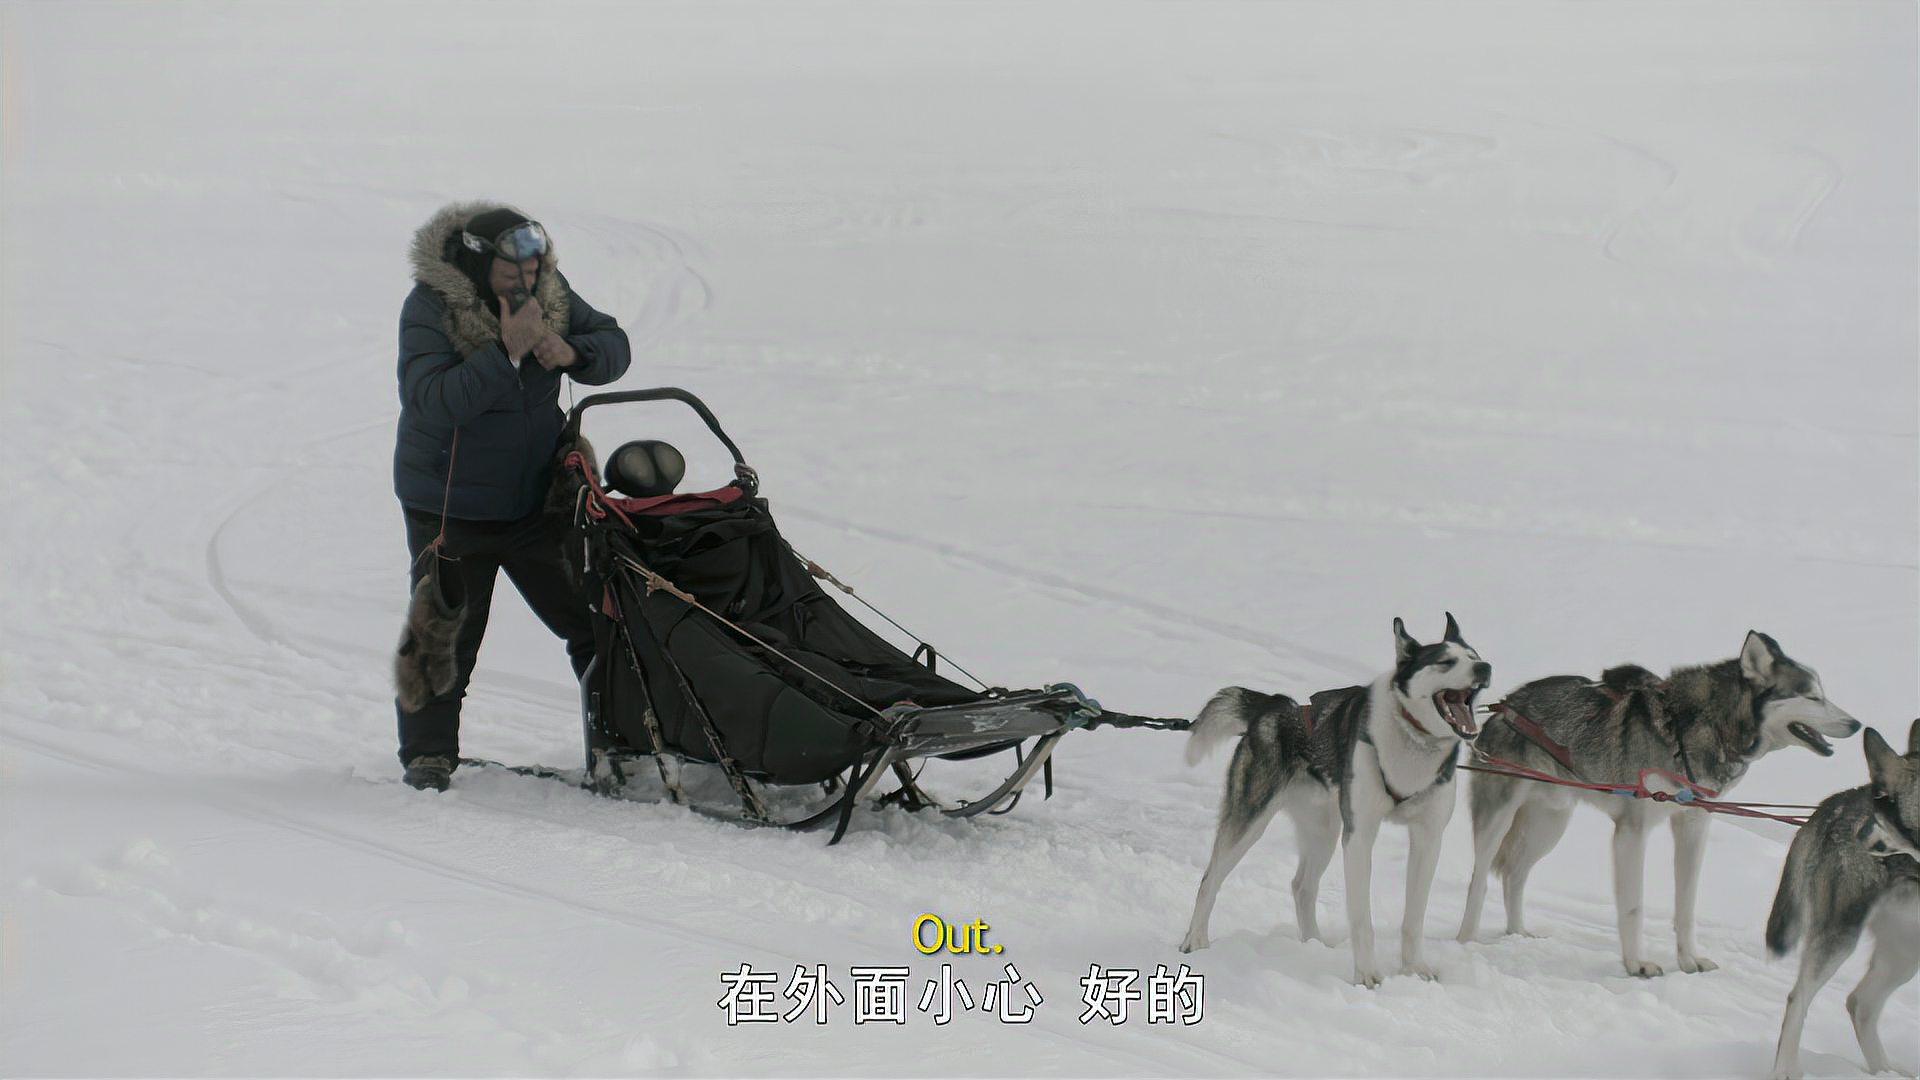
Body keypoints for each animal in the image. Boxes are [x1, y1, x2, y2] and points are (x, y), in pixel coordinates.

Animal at [1175, 614, 1489, 983]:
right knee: (1210, 880)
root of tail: (1274, 706)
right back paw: (1195, 940)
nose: (1485, 667)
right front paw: (1367, 976)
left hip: (1324, 831)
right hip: (1250, 821)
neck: (1413, 743)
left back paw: (1313, 945)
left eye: (1473, 655)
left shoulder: (1428, 838)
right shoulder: (1360, 837)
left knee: (1302, 887)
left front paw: (1415, 970)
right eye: (1445, 661)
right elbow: (1362, 919)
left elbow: (1413, 918)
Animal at [1451, 630, 1858, 976]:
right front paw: (1636, 965)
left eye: (1822, 692)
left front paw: (1689, 960)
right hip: (1500, 817)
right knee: (1479, 879)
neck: (1692, 729)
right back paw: (1465, 941)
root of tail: (1505, 704)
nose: (1856, 724)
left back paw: (1518, 933)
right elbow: (1633, 906)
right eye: (1811, 696)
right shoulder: (1632, 831)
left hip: (1549, 824)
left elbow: (1686, 905)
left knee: (1514, 875)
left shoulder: (1693, 827)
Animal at [1766, 714, 1920, 1076]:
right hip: (1840, 935)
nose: (1860, 836)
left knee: (1861, 1003)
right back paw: (1787, 1070)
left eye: (1881, 812)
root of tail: (1833, 803)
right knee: (1799, 999)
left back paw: (1886, 1073)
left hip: (1906, 952)